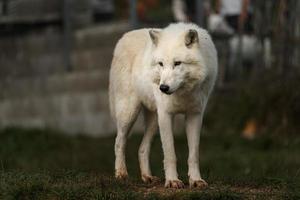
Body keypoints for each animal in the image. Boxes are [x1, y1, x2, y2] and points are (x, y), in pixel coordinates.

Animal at [109, 22, 217, 188]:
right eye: (161, 64)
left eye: (177, 63)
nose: (163, 88)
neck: (183, 92)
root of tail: (123, 37)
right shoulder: (166, 115)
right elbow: (170, 153)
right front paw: (172, 181)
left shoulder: (195, 115)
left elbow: (193, 154)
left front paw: (196, 180)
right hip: (129, 113)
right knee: (119, 142)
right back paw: (121, 174)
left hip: (154, 120)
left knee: (142, 148)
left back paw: (147, 177)